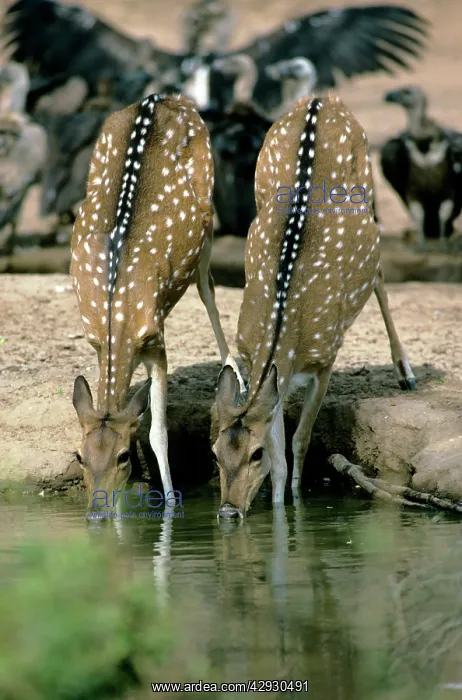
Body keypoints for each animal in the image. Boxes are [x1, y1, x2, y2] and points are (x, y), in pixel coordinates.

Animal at [70, 92, 245, 516]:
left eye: (121, 457)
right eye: (80, 456)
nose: (95, 513)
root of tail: (165, 97)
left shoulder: (156, 341)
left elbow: (158, 434)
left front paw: (169, 507)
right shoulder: (95, 340)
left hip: (207, 210)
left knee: (208, 287)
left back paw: (234, 369)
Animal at [212, 95, 415, 519]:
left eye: (254, 454)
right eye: (215, 453)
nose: (227, 512)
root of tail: (322, 99)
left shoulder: (326, 357)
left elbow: (299, 441)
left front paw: (297, 505)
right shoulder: (267, 372)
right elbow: (280, 455)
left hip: (370, 194)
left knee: (380, 274)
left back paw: (406, 371)